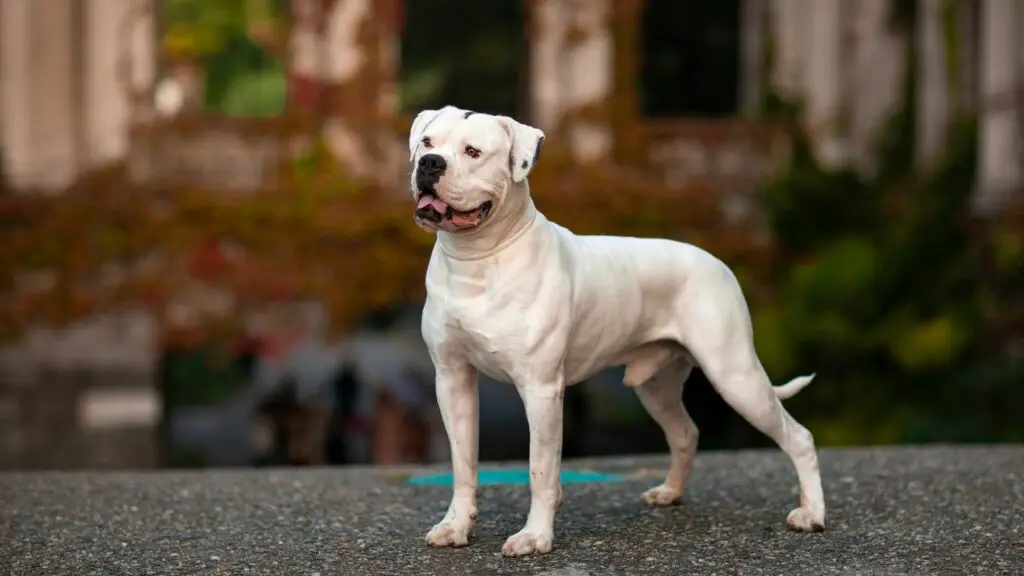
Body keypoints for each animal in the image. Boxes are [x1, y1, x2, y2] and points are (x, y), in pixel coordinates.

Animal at [405, 105, 823, 553]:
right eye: (427, 143)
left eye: (473, 151)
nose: (430, 164)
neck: (477, 259)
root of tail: (717, 262)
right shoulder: (453, 381)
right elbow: (462, 462)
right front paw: (455, 526)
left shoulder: (540, 389)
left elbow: (540, 469)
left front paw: (535, 536)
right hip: (656, 386)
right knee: (685, 433)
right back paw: (670, 492)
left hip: (736, 376)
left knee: (799, 437)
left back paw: (812, 514)